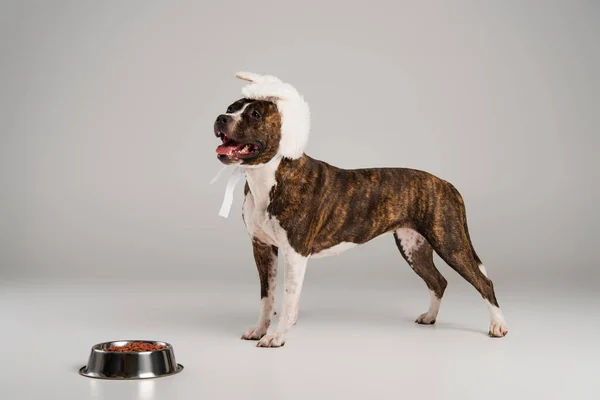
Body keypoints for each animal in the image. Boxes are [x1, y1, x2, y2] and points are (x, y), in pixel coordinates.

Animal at [211, 72, 506, 346]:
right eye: (231, 107)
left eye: (255, 114)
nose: (221, 118)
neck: (267, 175)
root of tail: (446, 184)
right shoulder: (262, 247)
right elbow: (267, 296)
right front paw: (259, 330)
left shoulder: (294, 253)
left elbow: (287, 298)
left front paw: (277, 336)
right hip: (413, 246)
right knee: (437, 281)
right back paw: (430, 317)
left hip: (449, 241)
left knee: (483, 281)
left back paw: (498, 326)